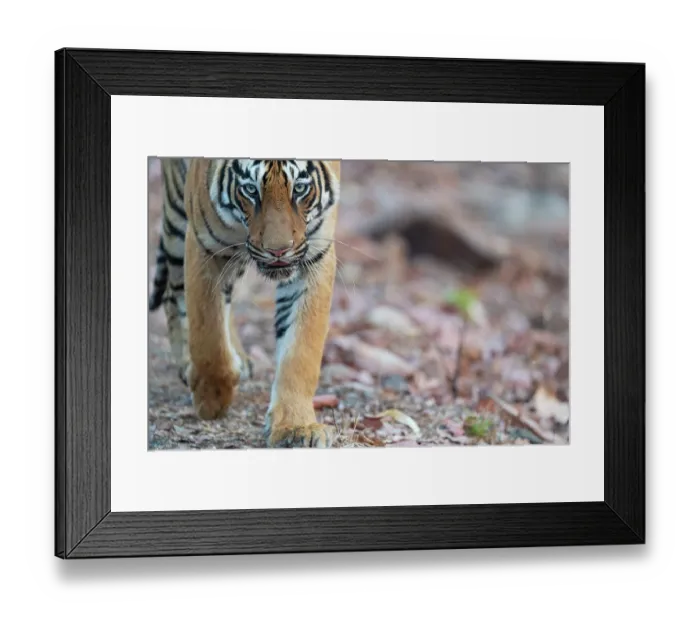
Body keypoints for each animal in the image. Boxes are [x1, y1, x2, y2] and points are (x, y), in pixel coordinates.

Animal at [149, 157, 340, 448]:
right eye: (250, 189)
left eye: (300, 188)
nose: (278, 251)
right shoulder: (204, 247)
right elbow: (208, 335)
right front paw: (211, 398)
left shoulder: (315, 256)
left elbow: (301, 351)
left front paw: (296, 427)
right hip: (177, 219)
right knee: (175, 294)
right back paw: (190, 366)